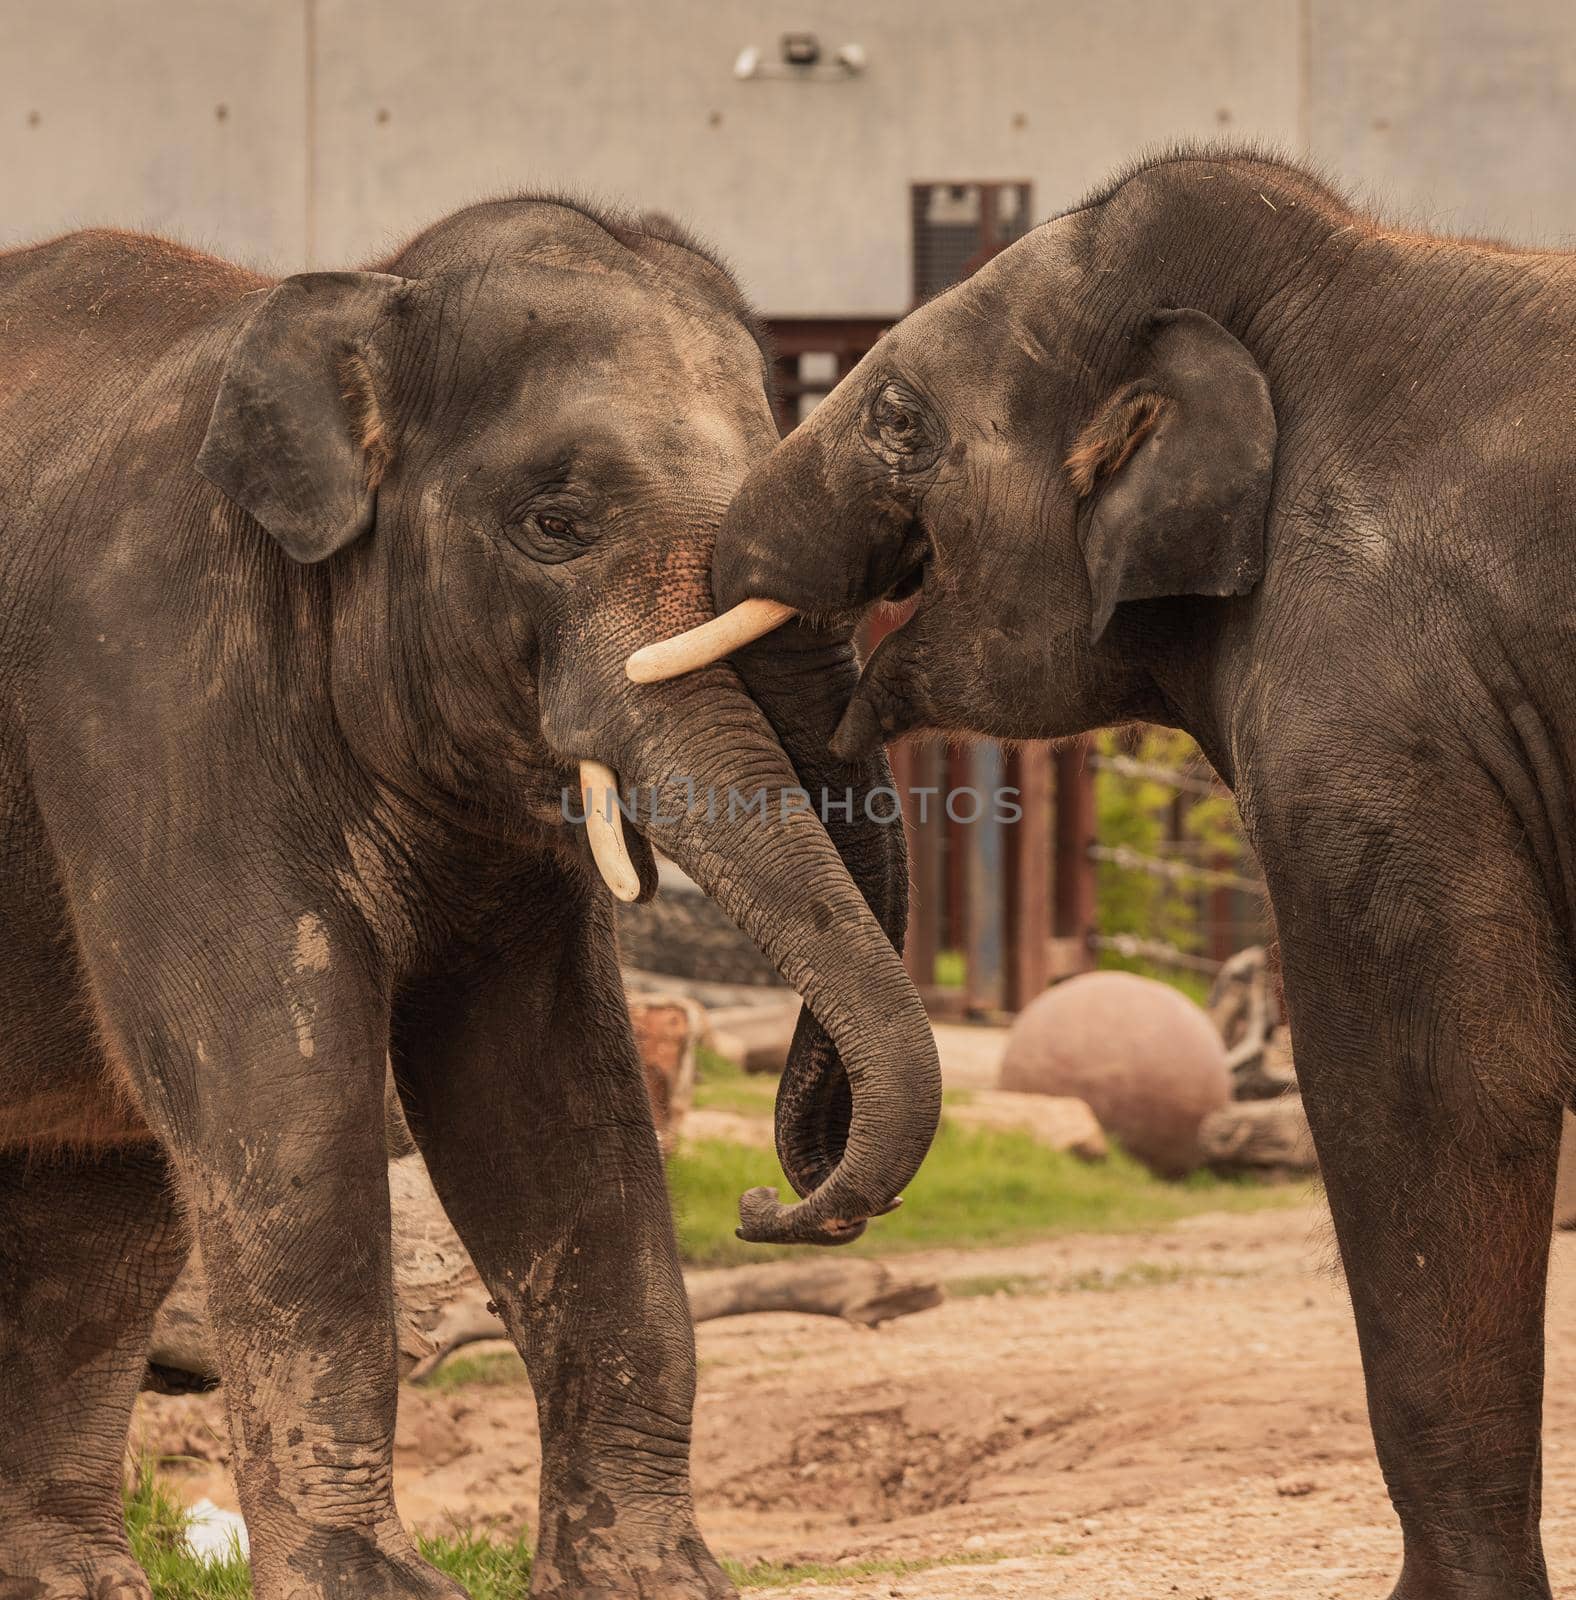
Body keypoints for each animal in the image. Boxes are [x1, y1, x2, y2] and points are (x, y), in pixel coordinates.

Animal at [0, 196, 934, 1600]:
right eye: (554, 524)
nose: (769, 1200)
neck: (356, 297)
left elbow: (551, 1099)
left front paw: (653, 1581)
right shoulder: (143, 687)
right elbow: (284, 1091)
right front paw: (370, 1587)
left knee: (99, 1206)